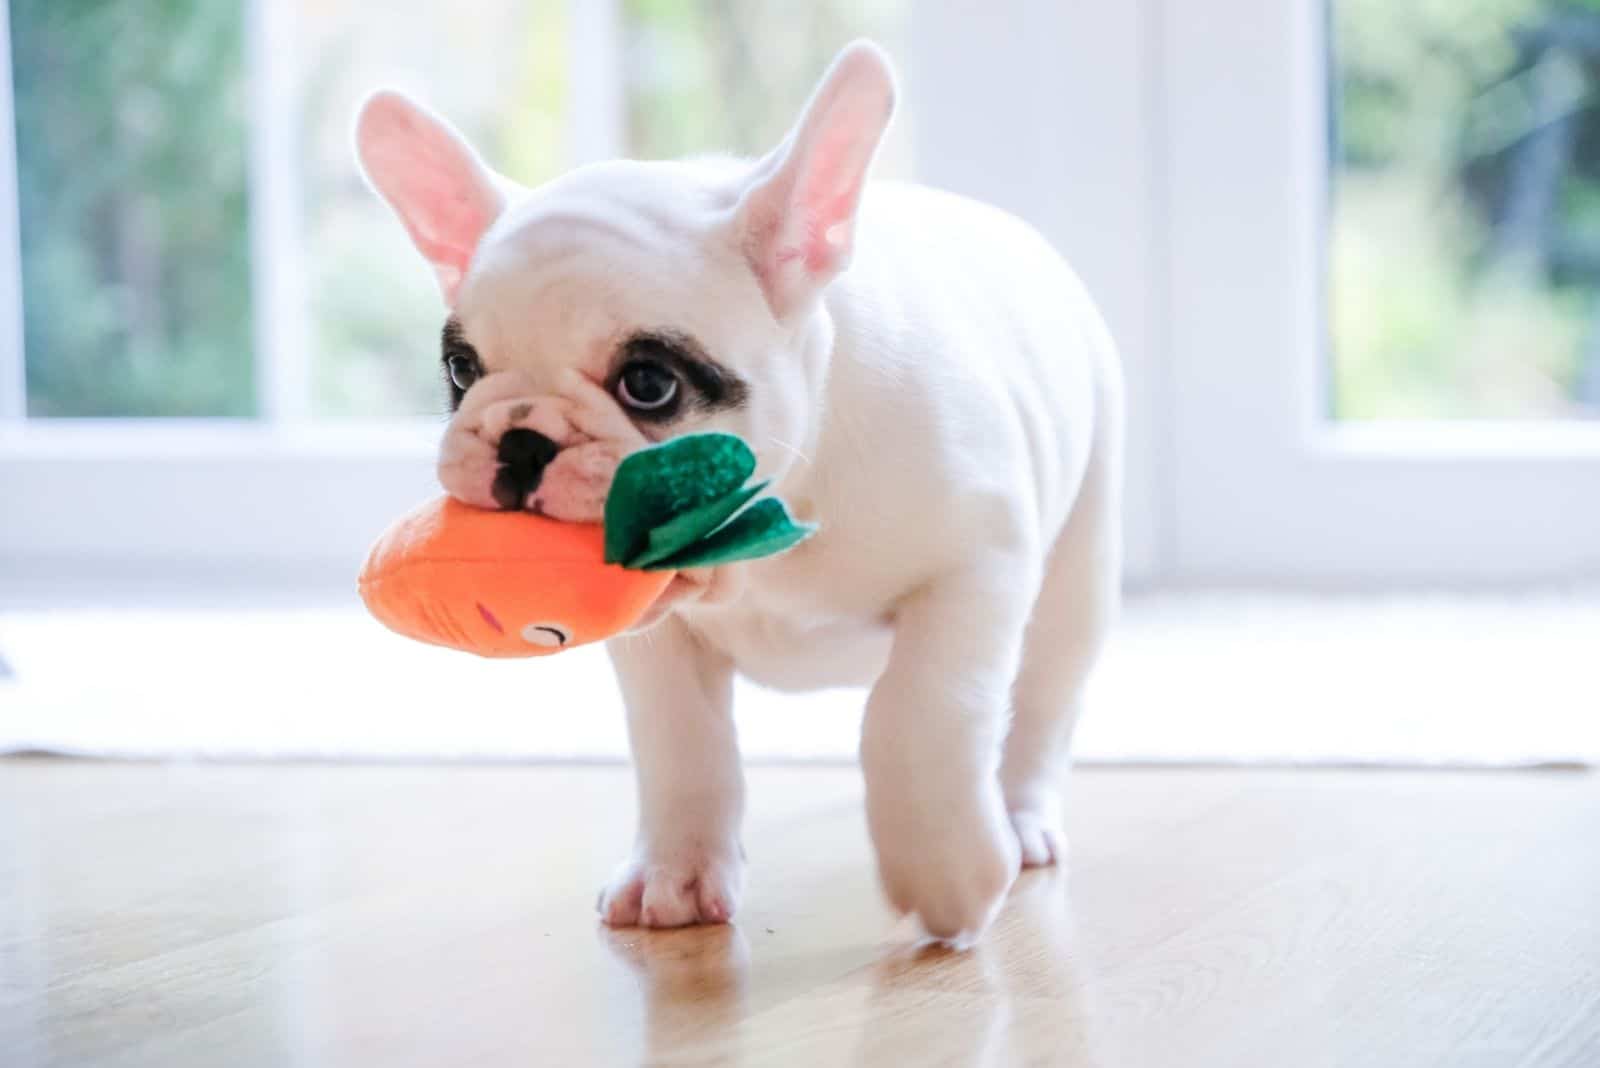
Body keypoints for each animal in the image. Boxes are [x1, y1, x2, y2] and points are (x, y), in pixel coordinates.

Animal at [356, 39, 1120, 940]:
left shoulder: (975, 564)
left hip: (1075, 577)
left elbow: (918, 708)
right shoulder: (656, 644)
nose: (520, 439)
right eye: (461, 370)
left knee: (1041, 700)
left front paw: (945, 866)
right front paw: (676, 873)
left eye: (649, 384)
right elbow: (682, 744)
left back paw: (1021, 818)